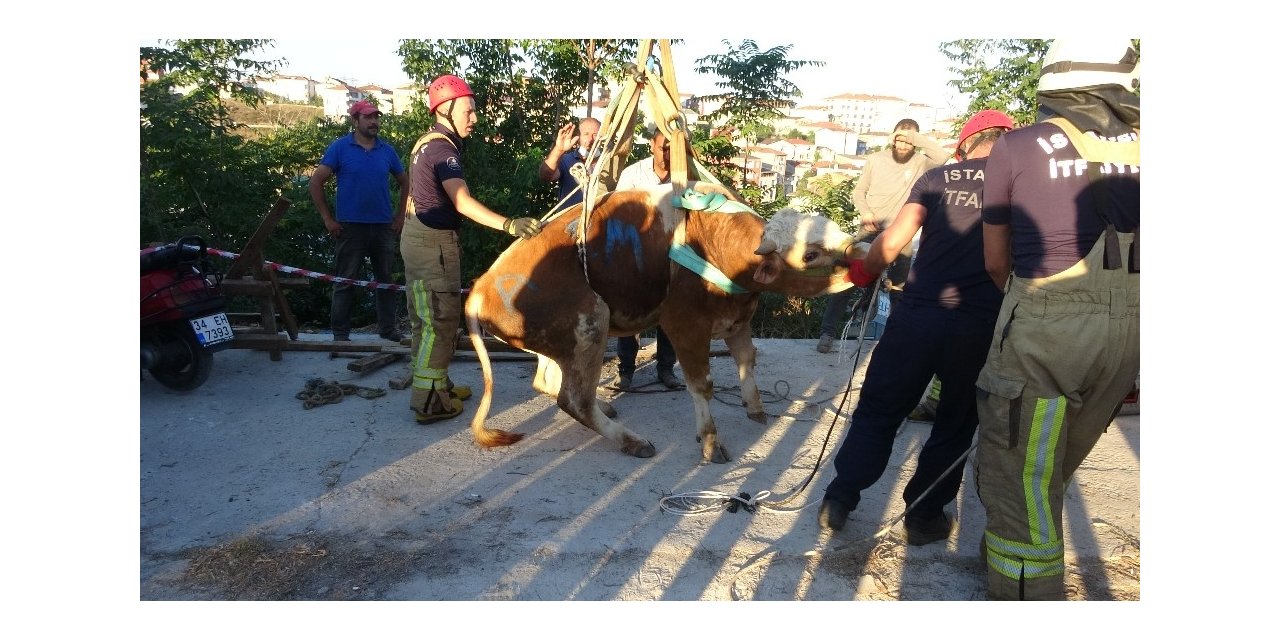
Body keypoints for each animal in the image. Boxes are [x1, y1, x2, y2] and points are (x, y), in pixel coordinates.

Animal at [460, 183, 860, 463]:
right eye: (810, 254)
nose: (858, 251)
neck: (715, 242)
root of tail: (480, 287)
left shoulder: (738, 319)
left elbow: (747, 362)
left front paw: (756, 408)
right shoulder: (685, 325)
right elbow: (701, 385)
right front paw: (710, 442)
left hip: (561, 339)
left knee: (548, 380)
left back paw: (605, 407)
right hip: (591, 321)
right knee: (573, 399)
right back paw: (631, 440)